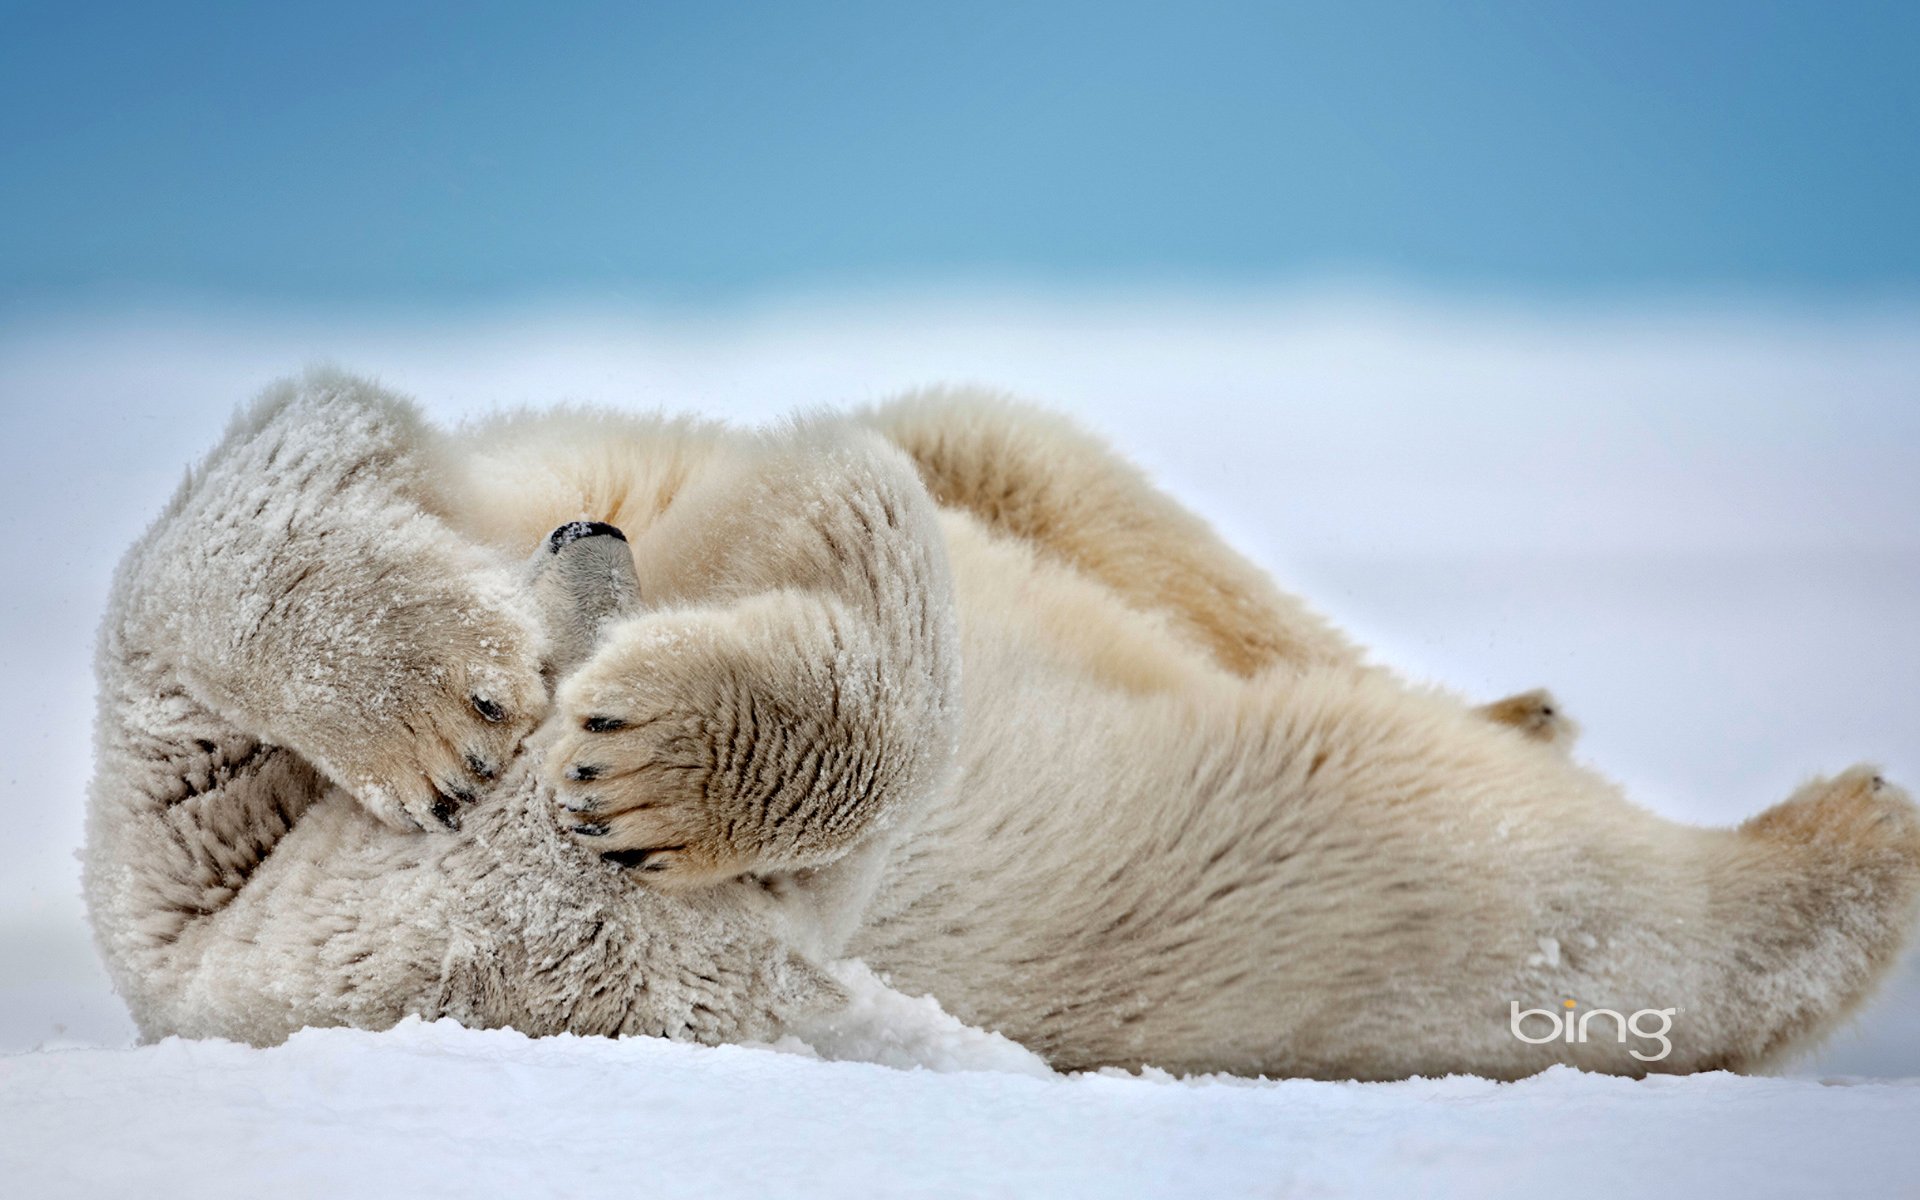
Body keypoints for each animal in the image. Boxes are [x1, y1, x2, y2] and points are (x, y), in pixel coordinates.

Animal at [83, 368, 1920, 1079]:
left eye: (575, 638)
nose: (590, 540)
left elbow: (296, 460)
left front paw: (481, 705)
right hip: (1271, 886)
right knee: (1505, 878)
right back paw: (1843, 834)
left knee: (1057, 475)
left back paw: (1531, 703)